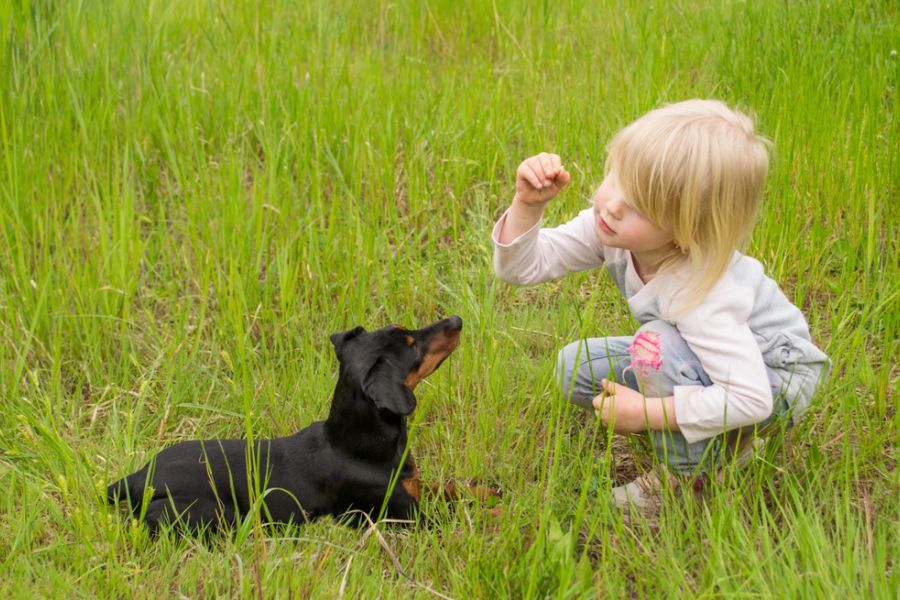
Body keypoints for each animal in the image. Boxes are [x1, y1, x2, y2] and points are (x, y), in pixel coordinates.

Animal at [107, 316, 492, 532]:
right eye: (412, 346)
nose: (457, 318)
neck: (354, 444)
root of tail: (135, 478)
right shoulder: (408, 517)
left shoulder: (414, 487)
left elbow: (451, 486)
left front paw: (488, 491)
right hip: (214, 513)